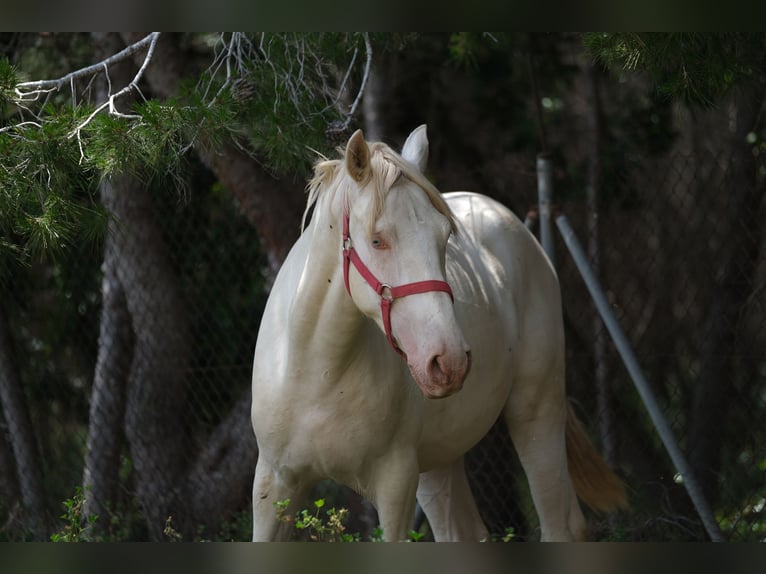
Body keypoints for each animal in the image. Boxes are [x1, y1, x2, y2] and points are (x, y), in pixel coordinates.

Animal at [249, 124, 628, 544]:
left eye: (445, 235)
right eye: (377, 239)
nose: (450, 361)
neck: (319, 372)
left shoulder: (394, 485)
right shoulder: (273, 485)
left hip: (537, 413)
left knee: (560, 523)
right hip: (438, 462)